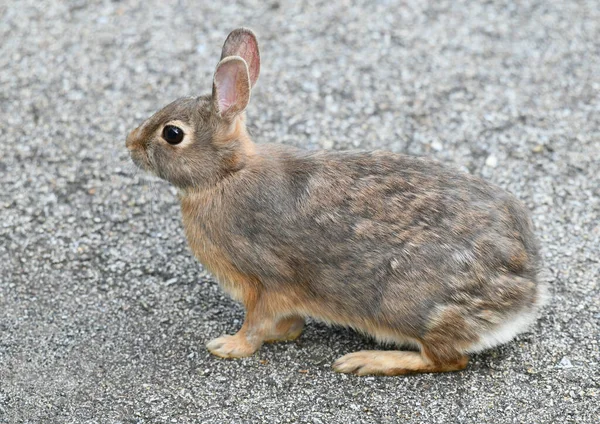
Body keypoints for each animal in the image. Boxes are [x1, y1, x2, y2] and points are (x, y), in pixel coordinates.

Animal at [127, 28, 548, 376]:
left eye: (172, 134)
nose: (130, 145)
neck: (225, 175)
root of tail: (527, 292)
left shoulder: (265, 281)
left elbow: (256, 324)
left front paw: (228, 346)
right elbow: (287, 325)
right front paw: (284, 334)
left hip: (408, 304)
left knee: (447, 358)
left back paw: (366, 361)